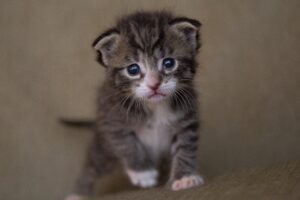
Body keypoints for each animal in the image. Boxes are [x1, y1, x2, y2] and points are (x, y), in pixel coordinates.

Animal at [66, 10, 204, 200]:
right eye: (133, 69)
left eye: (169, 63)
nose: (154, 85)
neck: (155, 106)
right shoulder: (112, 121)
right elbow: (127, 144)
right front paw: (143, 173)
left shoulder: (187, 119)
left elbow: (186, 147)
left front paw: (184, 178)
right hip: (104, 149)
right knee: (91, 167)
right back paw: (78, 194)